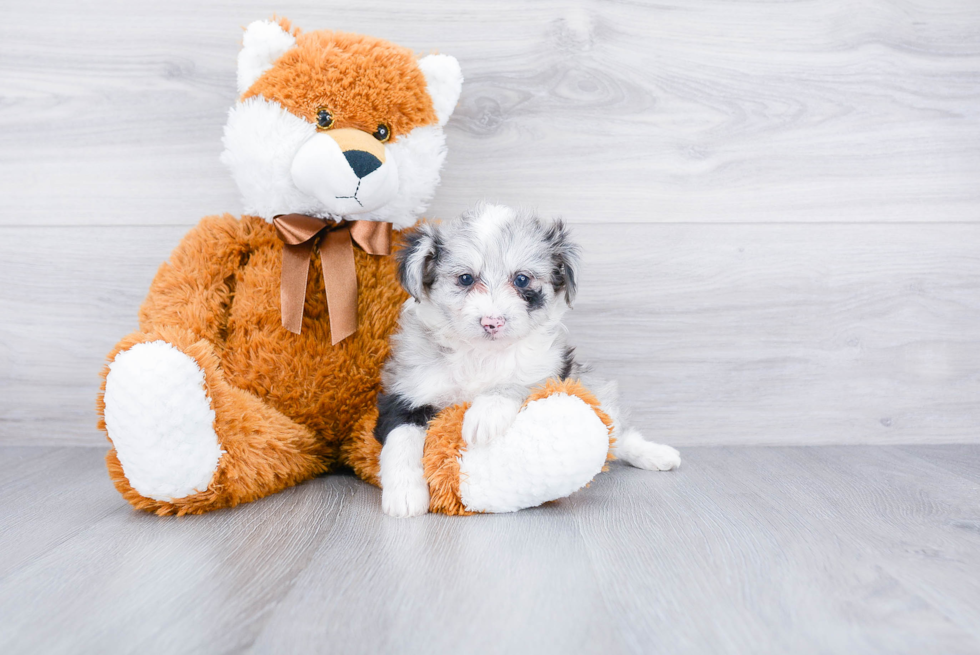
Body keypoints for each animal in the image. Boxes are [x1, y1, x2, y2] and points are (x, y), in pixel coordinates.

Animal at [376, 204, 680, 516]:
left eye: (521, 279)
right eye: (465, 279)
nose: (492, 322)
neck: (482, 354)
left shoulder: (549, 370)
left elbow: (517, 382)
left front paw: (486, 413)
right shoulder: (404, 392)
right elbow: (401, 439)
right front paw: (404, 495)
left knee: (618, 434)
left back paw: (656, 454)